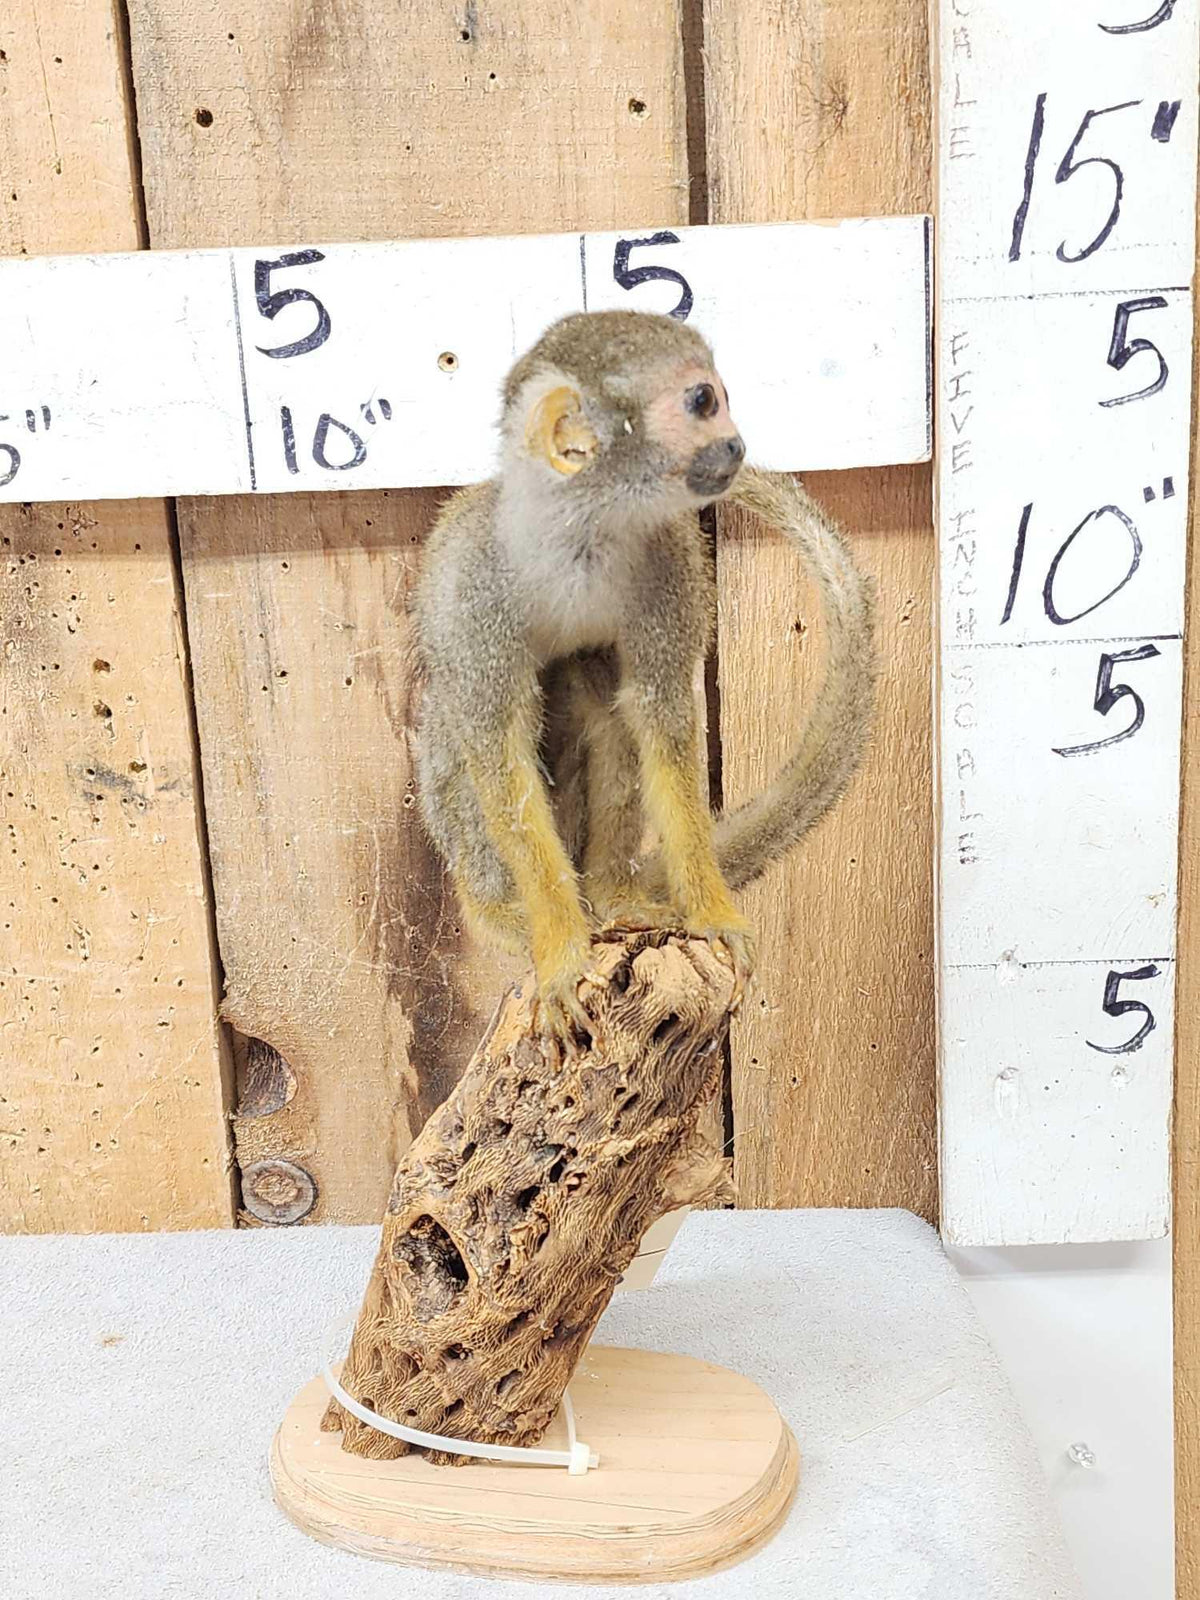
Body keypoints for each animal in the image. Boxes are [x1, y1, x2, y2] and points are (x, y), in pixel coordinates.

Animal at [412, 309, 875, 1047]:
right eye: (703, 401)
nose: (736, 442)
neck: (583, 533)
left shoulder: (671, 558)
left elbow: (661, 721)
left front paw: (710, 911)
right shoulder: (471, 584)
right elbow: (496, 750)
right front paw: (559, 948)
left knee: (600, 690)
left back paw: (614, 894)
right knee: (460, 722)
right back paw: (500, 910)